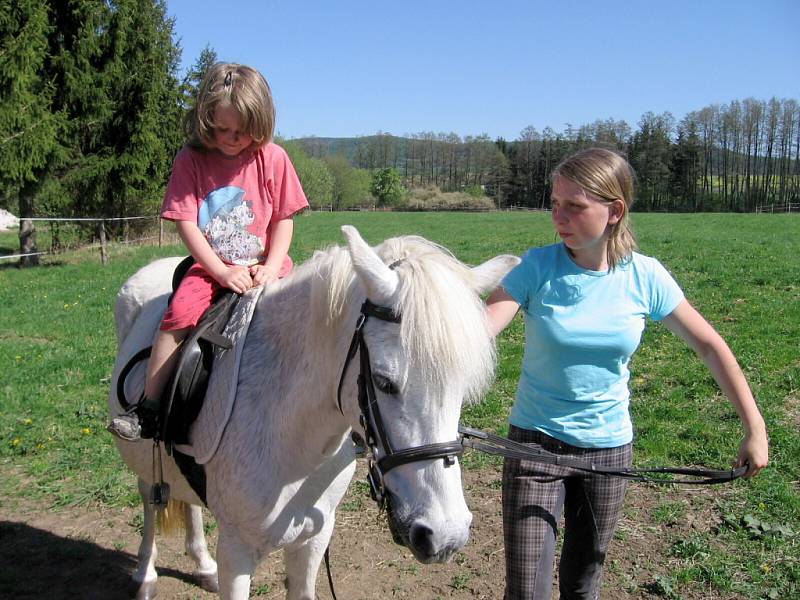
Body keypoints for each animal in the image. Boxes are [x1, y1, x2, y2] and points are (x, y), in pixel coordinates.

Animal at [109, 226, 520, 600]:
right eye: (384, 382)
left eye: (462, 387)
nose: (445, 535)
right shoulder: (236, 550)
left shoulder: (314, 538)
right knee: (149, 497)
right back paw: (146, 575)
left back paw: (202, 565)